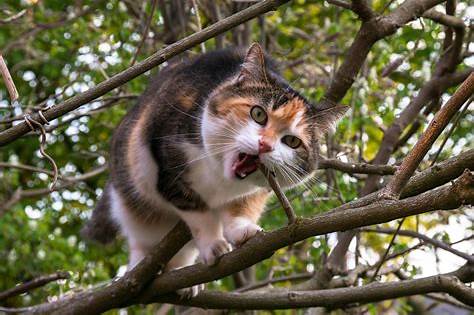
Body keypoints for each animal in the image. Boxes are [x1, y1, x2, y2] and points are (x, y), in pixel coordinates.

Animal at [82, 43, 348, 292]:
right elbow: (199, 214)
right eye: (258, 114)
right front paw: (214, 245)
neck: (221, 177)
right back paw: (139, 265)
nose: (265, 145)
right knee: (140, 235)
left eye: (292, 141)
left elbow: (242, 205)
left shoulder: (260, 189)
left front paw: (242, 230)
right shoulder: (167, 164)